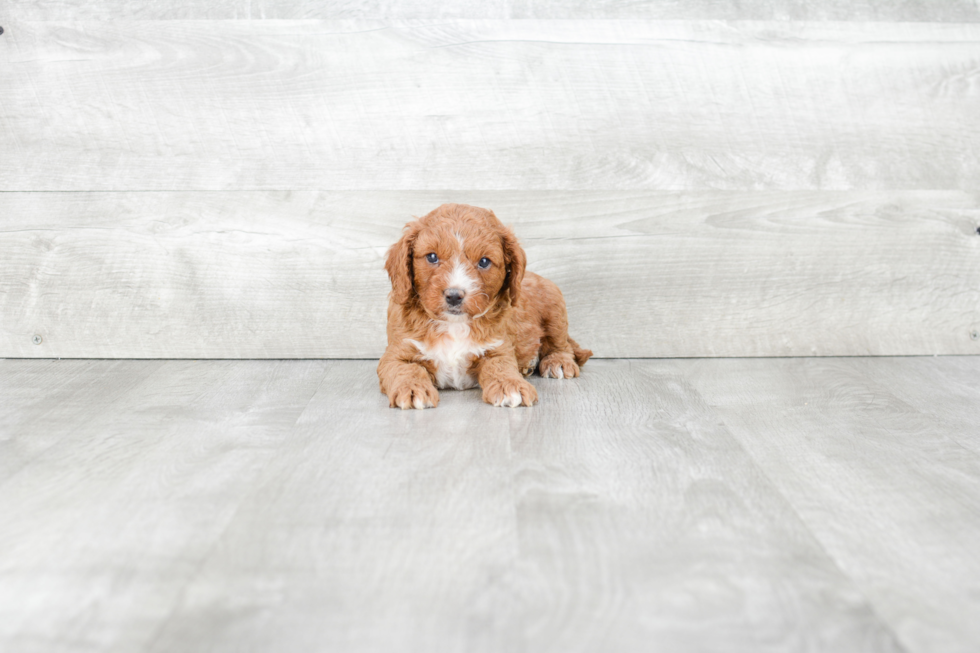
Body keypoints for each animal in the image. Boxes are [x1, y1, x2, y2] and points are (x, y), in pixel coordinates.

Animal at [378, 202, 588, 408]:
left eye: (484, 261)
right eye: (431, 257)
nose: (454, 296)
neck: (454, 324)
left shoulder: (499, 347)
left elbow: (500, 367)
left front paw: (511, 385)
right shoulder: (397, 352)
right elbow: (406, 369)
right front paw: (412, 389)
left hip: (555, 306)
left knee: (561, 343)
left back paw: (557, 362)